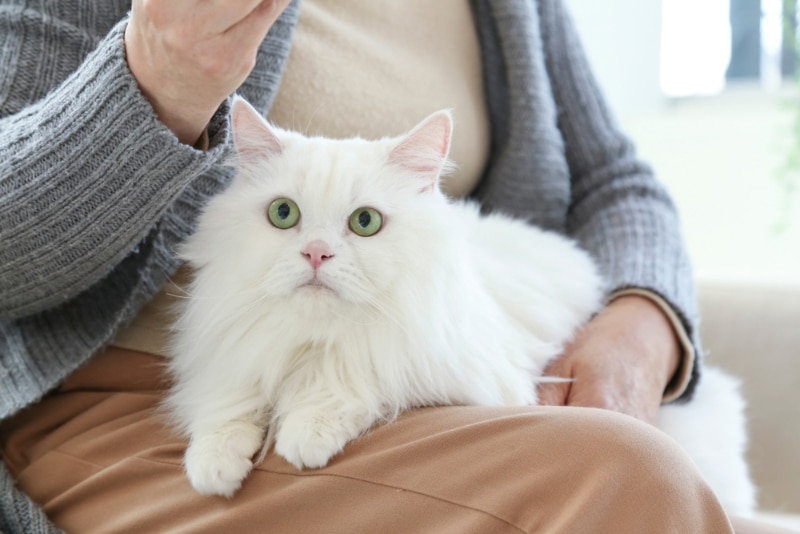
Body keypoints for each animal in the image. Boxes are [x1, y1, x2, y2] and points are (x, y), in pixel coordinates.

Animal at [167, 97, 756, 520]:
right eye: (284, 214)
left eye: (365, 222)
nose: (316, 254)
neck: (316, 341)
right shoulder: (233, 354)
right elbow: (227, 407)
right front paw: (213, 466)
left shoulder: (446, 365)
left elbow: (355, 381)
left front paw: (305, 432)